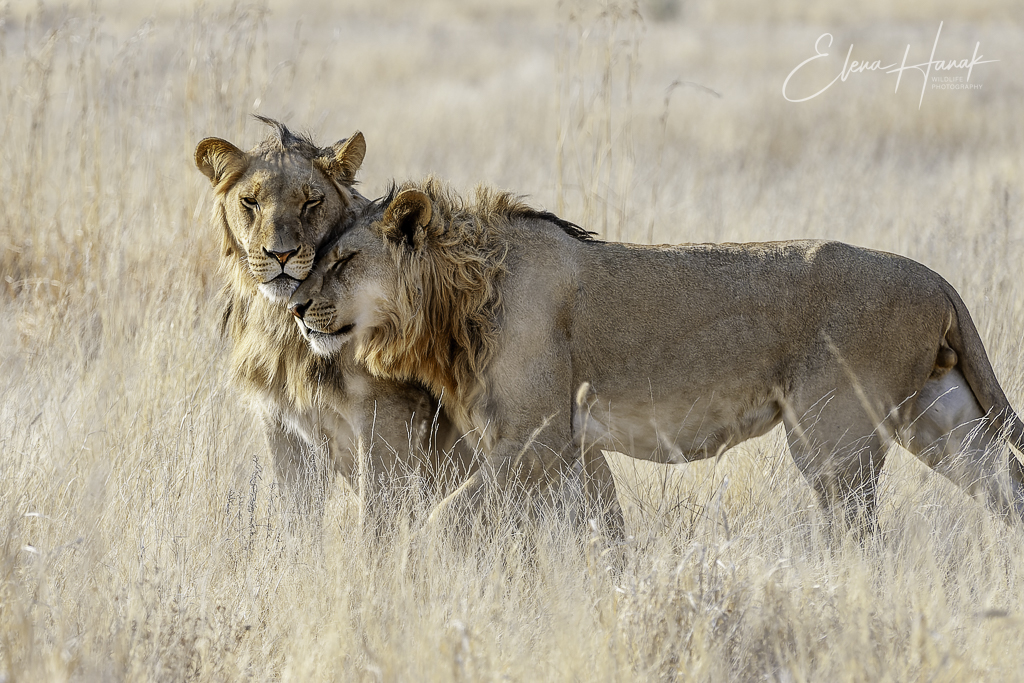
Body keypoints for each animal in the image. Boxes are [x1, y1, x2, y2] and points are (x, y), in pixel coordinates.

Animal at [193, 121, 473, 524]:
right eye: (250, 202)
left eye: (311, 202)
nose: (281, 255)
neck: (285, 331)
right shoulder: (282, 424)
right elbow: (297, 517)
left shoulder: (387, 418)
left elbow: (377, 520)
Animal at [284, 178, 1024, 532]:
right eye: (322, 256)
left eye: (344, 260)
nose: (294, 307)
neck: (456, 298)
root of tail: (938, 280)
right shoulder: (574, 449)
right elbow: (604, 530)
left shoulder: (532, 440)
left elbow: (441, 519)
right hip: (944, 419)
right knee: (1006, 483)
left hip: (833, 435)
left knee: (857, 530)